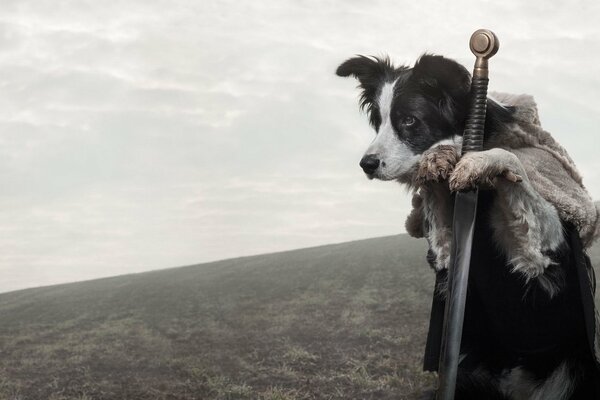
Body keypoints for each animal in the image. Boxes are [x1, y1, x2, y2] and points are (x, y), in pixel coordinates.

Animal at [338, 54, 600, 400]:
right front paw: (438, 160)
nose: (366, 165)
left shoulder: (550, 243)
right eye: (378, 122)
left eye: (409, 120)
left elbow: (512, 164)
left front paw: (473, 161)